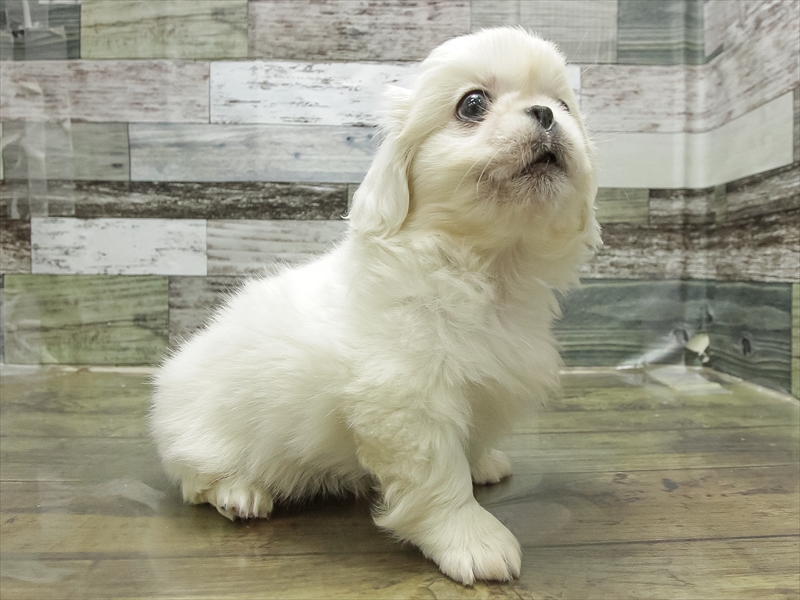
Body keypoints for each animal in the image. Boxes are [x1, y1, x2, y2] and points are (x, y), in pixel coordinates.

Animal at [150, 27, 600, 585]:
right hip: (201, 433)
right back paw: (241, 493)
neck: (485, 270)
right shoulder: (407, 403)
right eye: (472, 105)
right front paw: (472, 539)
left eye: (563, 104)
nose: (545, 113)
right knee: (196, 480)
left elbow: (466, 442)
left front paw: (480, 462)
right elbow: (439, 478)